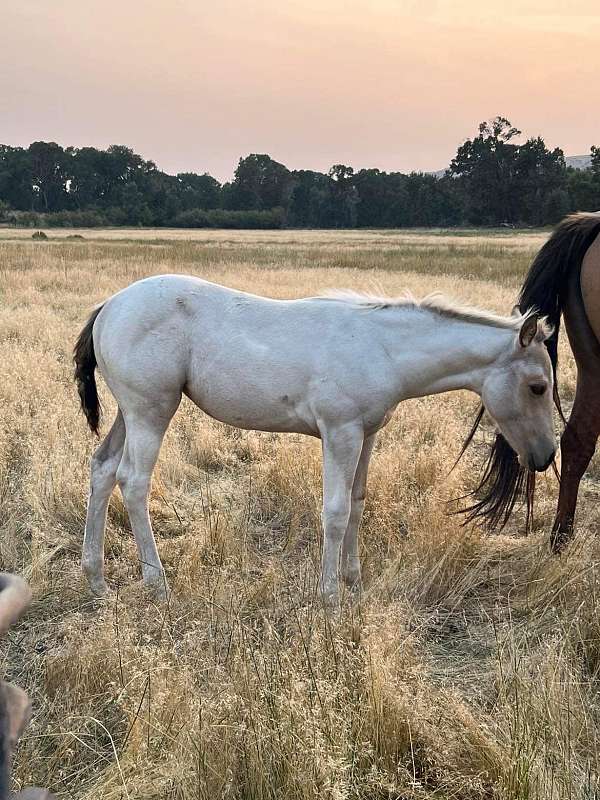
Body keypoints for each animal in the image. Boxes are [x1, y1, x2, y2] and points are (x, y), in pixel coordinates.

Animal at [75, 278, 556, 604]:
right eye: (537, 386)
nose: (545, 456)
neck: (382, 349)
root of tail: (110, 306)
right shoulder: (339, 432)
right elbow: (336, 512)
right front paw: (329, 597)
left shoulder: (367, 433)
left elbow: (358, 502)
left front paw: (353, 580)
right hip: (150, 411)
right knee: (133, 481)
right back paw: (157, 583)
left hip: (130, 413)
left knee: (102, 468)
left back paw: (96, 579)